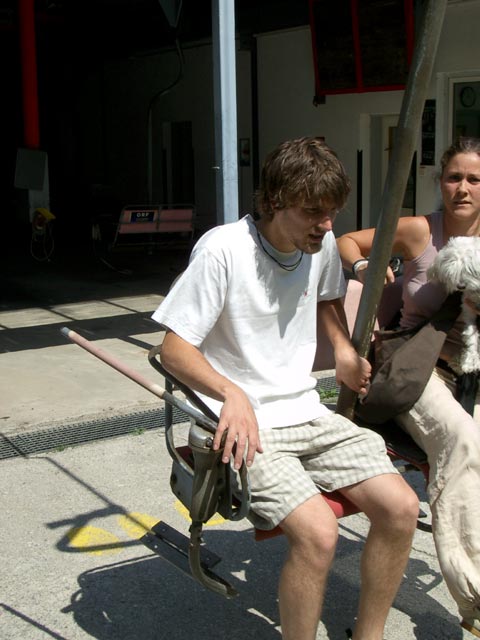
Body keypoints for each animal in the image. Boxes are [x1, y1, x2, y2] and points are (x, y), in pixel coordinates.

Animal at [428, 235, 480, 376]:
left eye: (470, 270)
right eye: (453, 272)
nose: (461, 286)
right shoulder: (469, 312)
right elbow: (471, 336)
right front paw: (470, 360)